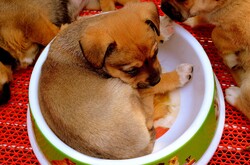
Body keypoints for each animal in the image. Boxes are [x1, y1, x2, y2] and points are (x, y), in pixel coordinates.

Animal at [38, 1, 193, 159]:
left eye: (156, 53)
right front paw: (179, 74)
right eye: (131, 71)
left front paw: (163, 26)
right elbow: (162, 84)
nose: (156, 79)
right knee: (150, 117)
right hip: (125, 89)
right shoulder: (138, 86)